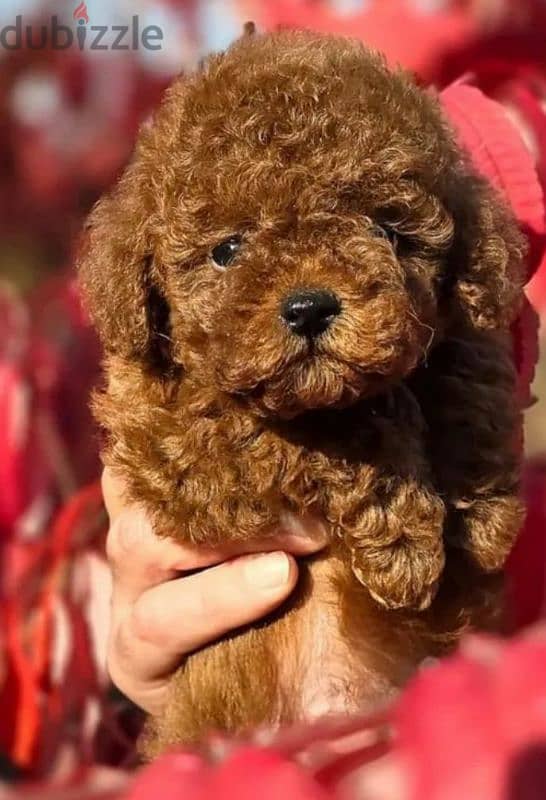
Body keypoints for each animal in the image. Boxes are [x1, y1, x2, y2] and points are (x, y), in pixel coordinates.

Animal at [78, 29, 524, 756]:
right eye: (227, 250)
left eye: (386, 229)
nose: (311, 308)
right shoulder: (177, 443)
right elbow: (330, 428)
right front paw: (405, 541)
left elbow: (464, 365)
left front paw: (481, 507)